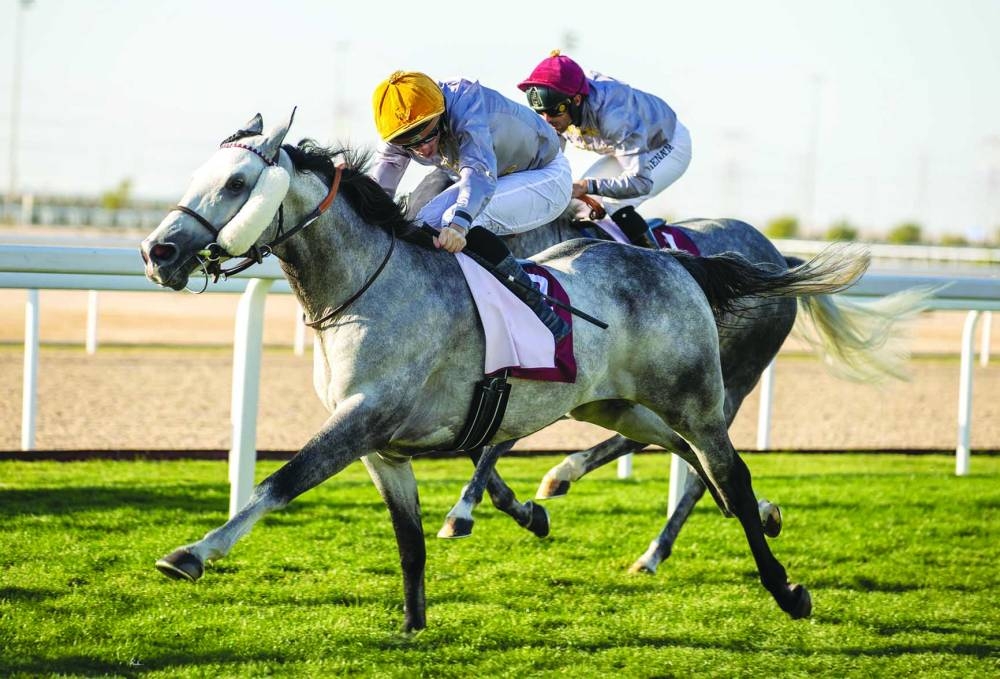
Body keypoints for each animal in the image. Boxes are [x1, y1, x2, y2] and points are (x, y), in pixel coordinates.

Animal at [140, 111, 873, 632]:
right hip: (613, 402)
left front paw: (191, 554)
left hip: (699, 395)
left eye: (237, 184)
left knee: (725, 472)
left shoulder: (362, 419)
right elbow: (409, 540)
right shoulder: (383, 448)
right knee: (684, 458)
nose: (157, 251)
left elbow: (281, 482)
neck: (370, 285)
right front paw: (413, 626)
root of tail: (678, 262)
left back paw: (784, 587)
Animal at [407, 168, 927, 573]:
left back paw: (652, 549)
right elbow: (481, 445)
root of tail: (779, 258)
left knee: (701, 468)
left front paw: (465, 510)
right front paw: (516, 509)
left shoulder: (557, 369)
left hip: (727, 381)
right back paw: (567, 475)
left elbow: (495, 445)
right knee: (654, 439)